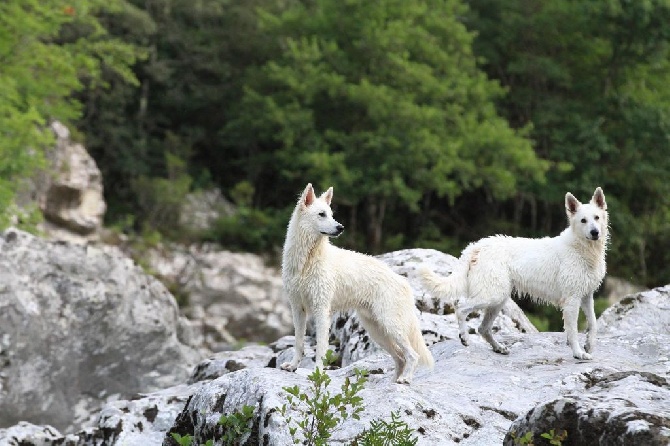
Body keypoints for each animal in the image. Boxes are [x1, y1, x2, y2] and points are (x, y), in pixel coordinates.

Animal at [280, 183, 434, 382]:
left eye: (331, 214)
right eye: (322, 214)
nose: (341, 227)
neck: (306, 261)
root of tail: (403, 281)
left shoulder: (322, 310)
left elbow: (321, 349)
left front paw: (318, 374)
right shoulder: (298, 309)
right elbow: (299, 343)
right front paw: (292, 366)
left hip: (390, 326)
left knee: (412, 355)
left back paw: (405, 380)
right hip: (377, 330)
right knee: (400, 358)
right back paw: (393, 382)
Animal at [422, 187, 612, 358]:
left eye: (596, 217)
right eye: (583, 220)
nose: (595, 232)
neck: (582, 249)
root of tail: (477, 246)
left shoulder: (586, 296)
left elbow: (593, 324)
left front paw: (589, 345)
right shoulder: (571, 300)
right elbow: (572, 331)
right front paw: (578, 353)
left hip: (498, 299)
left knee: (483, 328)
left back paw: (499, 348)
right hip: (492, 295)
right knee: (461, 308)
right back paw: (464, 337)